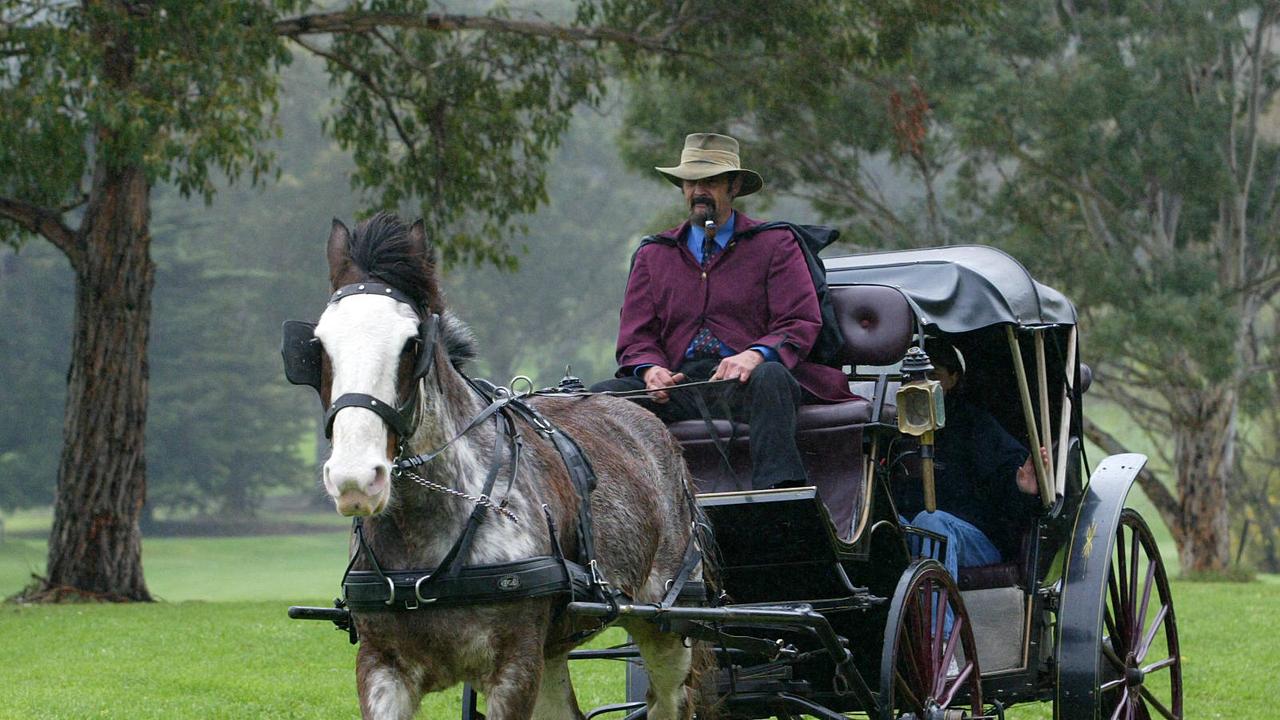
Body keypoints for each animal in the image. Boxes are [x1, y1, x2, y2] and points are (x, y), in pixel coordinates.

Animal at [304, 212, 716, 717]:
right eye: (318, 345)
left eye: (412, 344)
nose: (355, 479)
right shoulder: (381, 668)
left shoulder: (514, 667)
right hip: (554, 651)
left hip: (670, 626)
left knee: (668, 699)